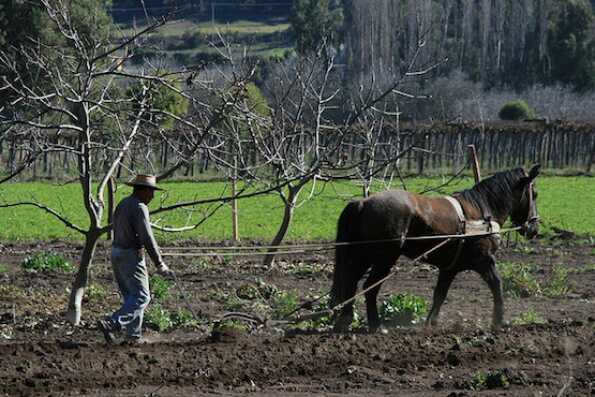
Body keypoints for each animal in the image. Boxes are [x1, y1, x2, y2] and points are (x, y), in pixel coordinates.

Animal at [328, 164, 544, 332]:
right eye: (534, 194)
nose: (534, 228)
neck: (482, 211)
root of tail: (362, 202)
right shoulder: (484, 260)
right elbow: (497, 285)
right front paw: (498, 321)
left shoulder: (449, 268)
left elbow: (440, 294)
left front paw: (430, 323)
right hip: (384, 259)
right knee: (369, 287)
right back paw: (376, 325)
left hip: (362, 256)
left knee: (351, 281)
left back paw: (345, 320)